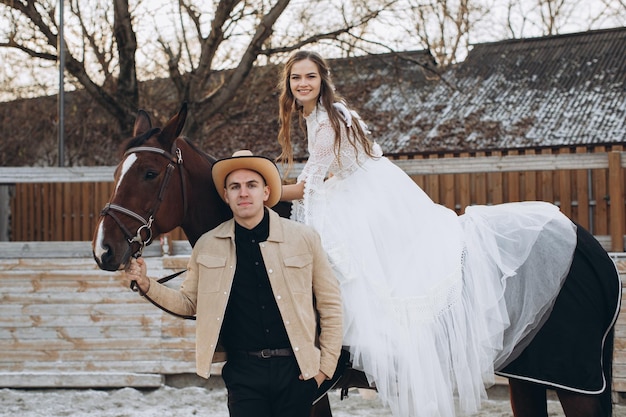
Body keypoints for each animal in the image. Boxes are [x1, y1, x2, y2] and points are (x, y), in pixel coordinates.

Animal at [92, 102, 620, 414]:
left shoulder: (309, 387)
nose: (104, 249)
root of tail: (590, 248)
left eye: (150, 173)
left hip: (574, 385)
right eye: (118, 171)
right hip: (527, 378)